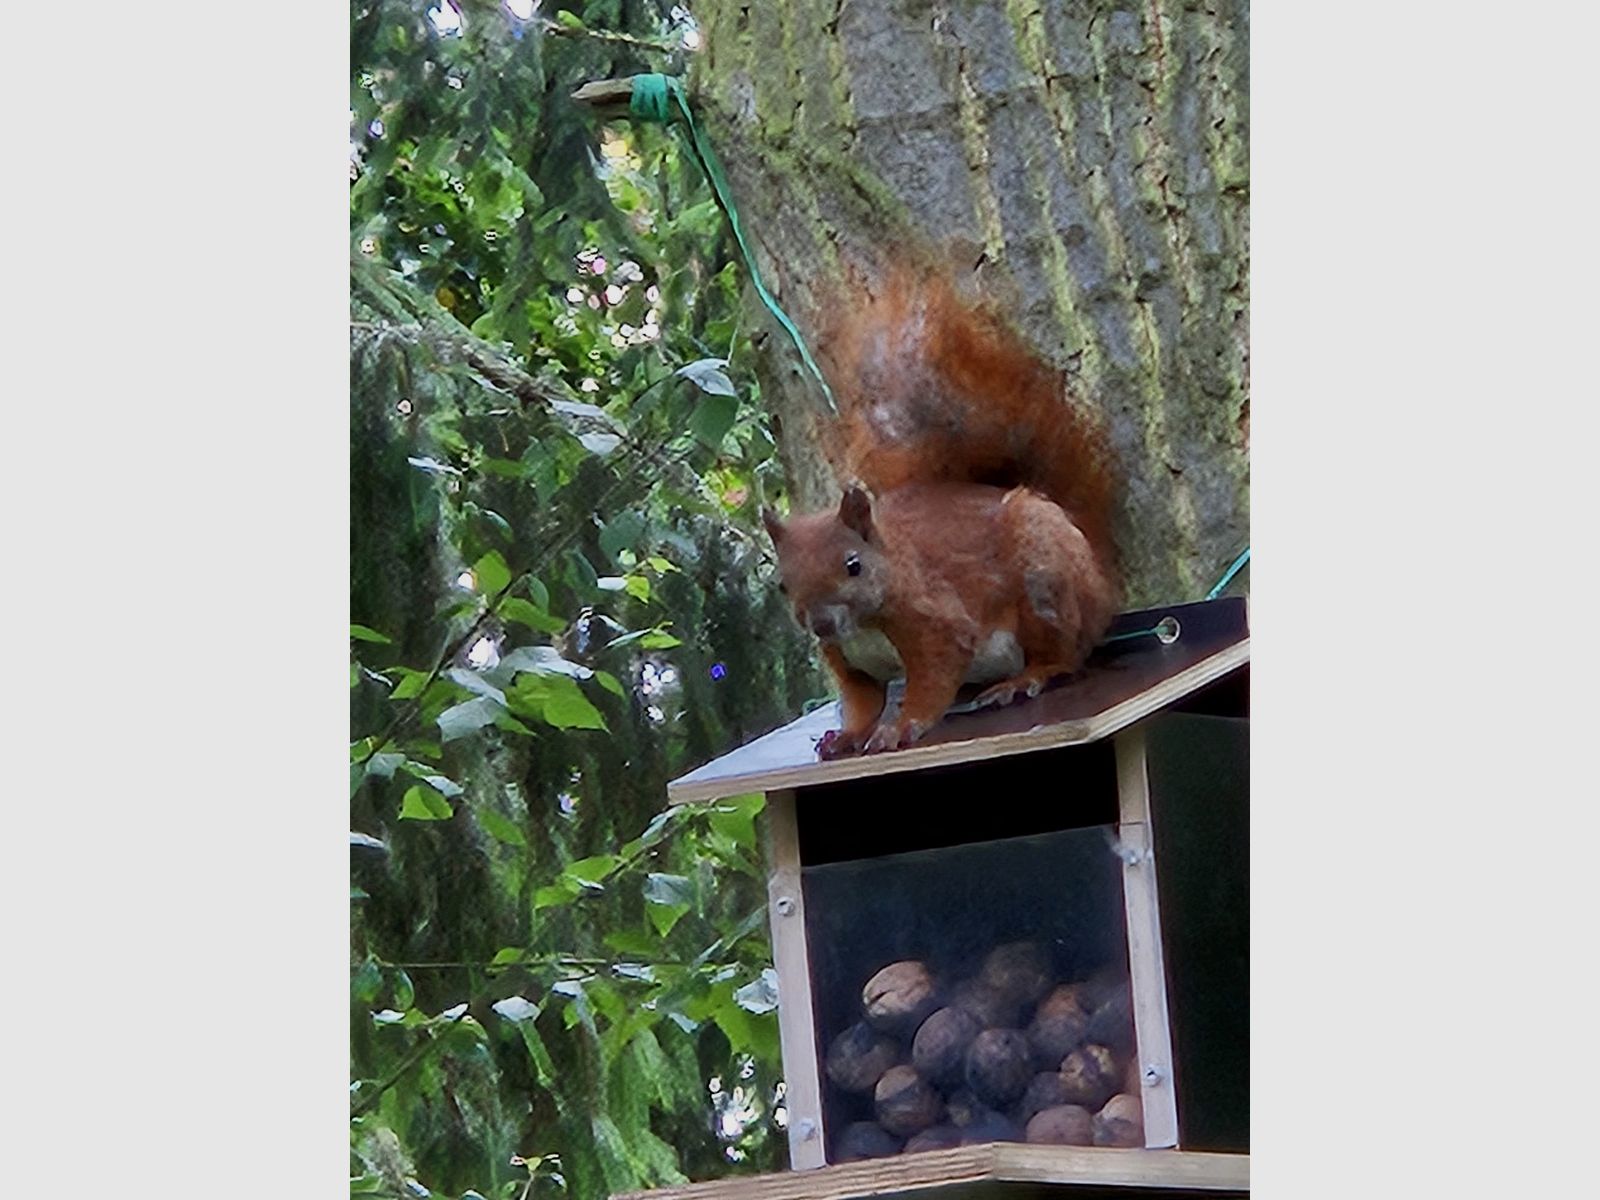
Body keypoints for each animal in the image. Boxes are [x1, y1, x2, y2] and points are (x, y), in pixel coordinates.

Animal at [761, 265, 1121, 759]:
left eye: (853, 565)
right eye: (782, 584)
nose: (820, 624)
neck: (863, 626)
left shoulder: (936, 622)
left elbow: (934, 676)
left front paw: (899, 727)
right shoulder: (847, 661)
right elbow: (862, 702)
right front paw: (847, 736)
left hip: (1046, 581)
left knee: (1065, 654)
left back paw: (1023, 679)